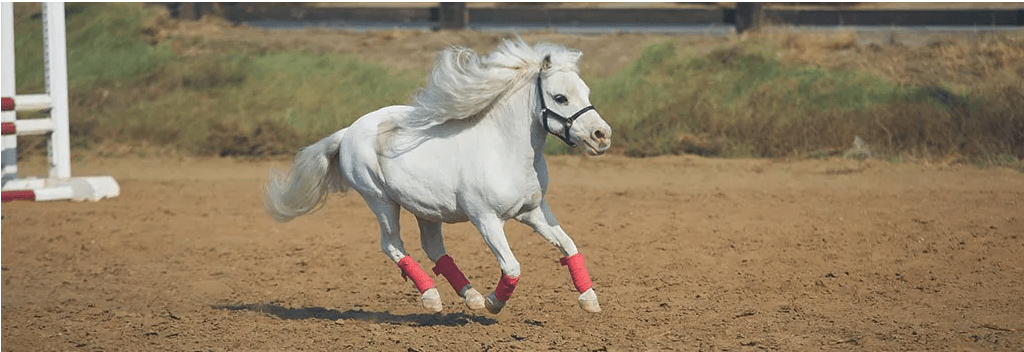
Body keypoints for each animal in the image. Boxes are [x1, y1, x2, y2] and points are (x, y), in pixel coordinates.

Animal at [266, 38, 614, 313]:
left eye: (585, 91)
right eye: (560, 97)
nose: (602, 136)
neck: (505, 149)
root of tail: (348, 131)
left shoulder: (533, 211)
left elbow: (569, 246)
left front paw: (590, 300)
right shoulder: (486, 219)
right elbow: (513, 267)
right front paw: (494, 303)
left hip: (426, 208)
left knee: (433, 249)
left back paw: (470, 297)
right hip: (380, 200)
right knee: (392, 245)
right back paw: (434, 298)